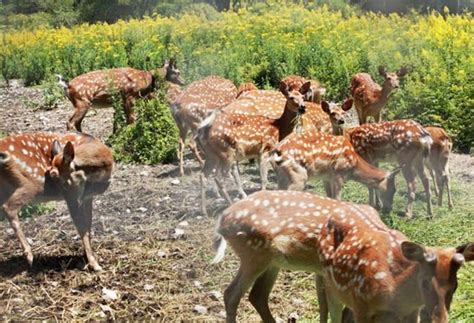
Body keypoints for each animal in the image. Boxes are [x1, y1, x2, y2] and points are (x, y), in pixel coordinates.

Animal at [0, 132, 114, 270]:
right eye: (53, 175)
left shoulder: (87, 196)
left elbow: (88, 224)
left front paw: (87, 257)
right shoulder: (73, 196)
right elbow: (82, 226)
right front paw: (94, 264)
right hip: (31, 183)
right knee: (8, 207)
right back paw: (29, 256)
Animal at [57, 58, 185, 132]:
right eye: (178, 72)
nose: (184, 82)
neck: (147, 79)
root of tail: (67, 85)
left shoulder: (123, 99)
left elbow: (126, 119)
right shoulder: (129, 95)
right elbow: (132, 119)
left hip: (83, 103)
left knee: (77, 123)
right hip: (82, 101)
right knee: (70, 122)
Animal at [197, 82, 312, 216]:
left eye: (303, 97)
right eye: (291, 97)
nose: (303, 107)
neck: (279, 129)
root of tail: (202, 131)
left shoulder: (261, 153)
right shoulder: (265, 150)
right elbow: (264, 179)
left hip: (212, 155)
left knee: (203, 175)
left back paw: (204, 211)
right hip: (226, 152)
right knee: (218, 178)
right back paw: (229, 204)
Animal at [212, 191, 474, 323]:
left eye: (456, 286)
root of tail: (222, 220)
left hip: (271, 261)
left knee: (256, 295)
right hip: (253, 254)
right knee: (232, 294)